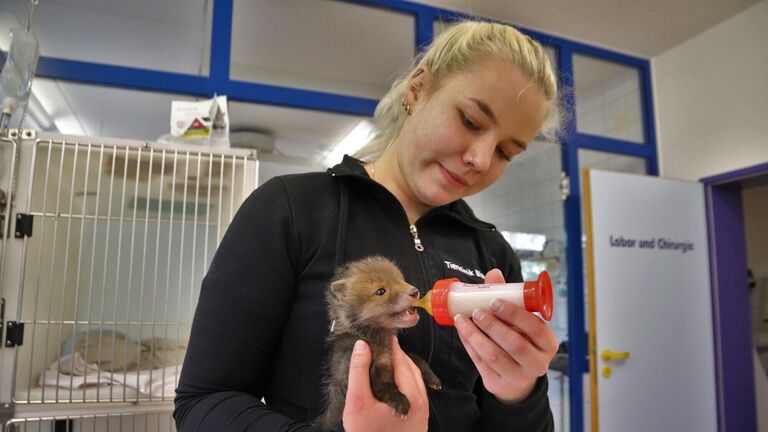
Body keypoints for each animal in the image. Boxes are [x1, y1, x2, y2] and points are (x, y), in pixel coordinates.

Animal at [316, 255, 438, 430]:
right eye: (381, 291)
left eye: (401, 280)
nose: (414, 292)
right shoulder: (349, 373)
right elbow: (382, 387)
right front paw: (399, 400)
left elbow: (417, 359)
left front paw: (432, 378)